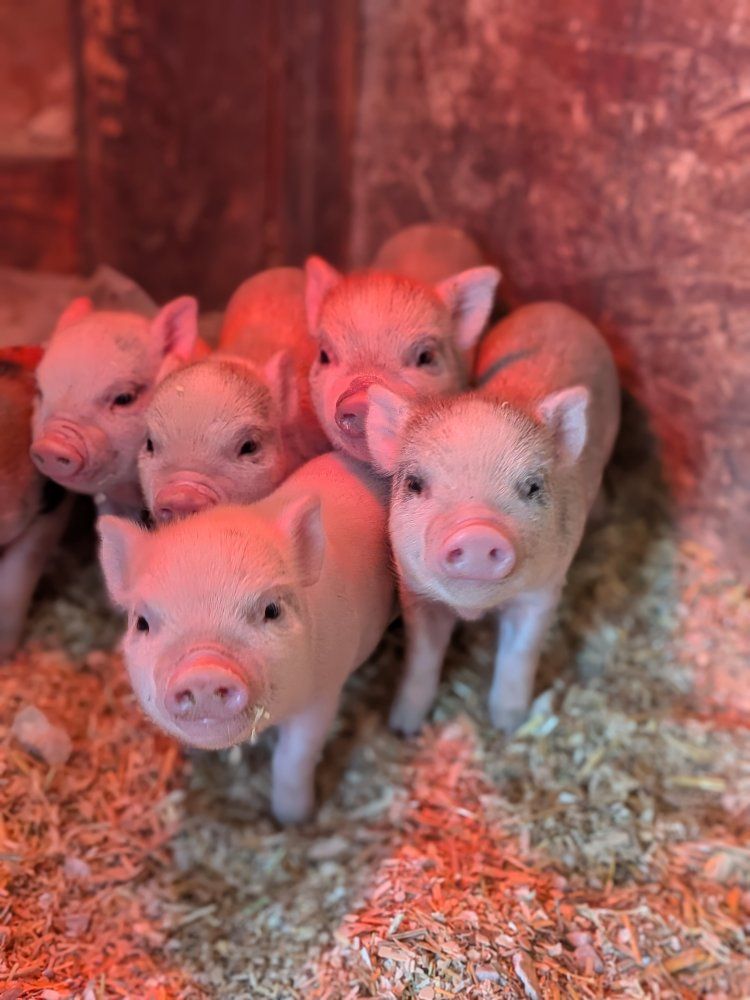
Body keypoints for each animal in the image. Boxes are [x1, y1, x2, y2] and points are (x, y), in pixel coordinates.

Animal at [98, 452, 394, 823]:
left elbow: (294, 757)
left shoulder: (325, 689)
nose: (203, 673)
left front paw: (293, 820)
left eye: (272, 610)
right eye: (142, 623)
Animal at [365, 302, 620, 735]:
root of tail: (557, 307)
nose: (477, 534)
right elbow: (422, 657)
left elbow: (519, 654)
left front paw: (508, 725)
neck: (476, 609)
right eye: (414, 483)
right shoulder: (416, 592)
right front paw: (402, 726)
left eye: (532, 486)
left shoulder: (543, 589)